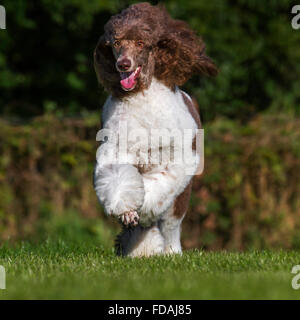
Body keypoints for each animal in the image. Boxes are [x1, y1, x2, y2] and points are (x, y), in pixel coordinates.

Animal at [92, 2, 217, 256]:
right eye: (116, 43)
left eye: (141, 43)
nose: (123, 64)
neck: (140, 95)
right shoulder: (116, 149)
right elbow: (119, 178)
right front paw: (127, 212)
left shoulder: (174, 160)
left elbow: (156, 190)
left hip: (182, 194)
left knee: (171, 222)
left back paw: (170, 251)